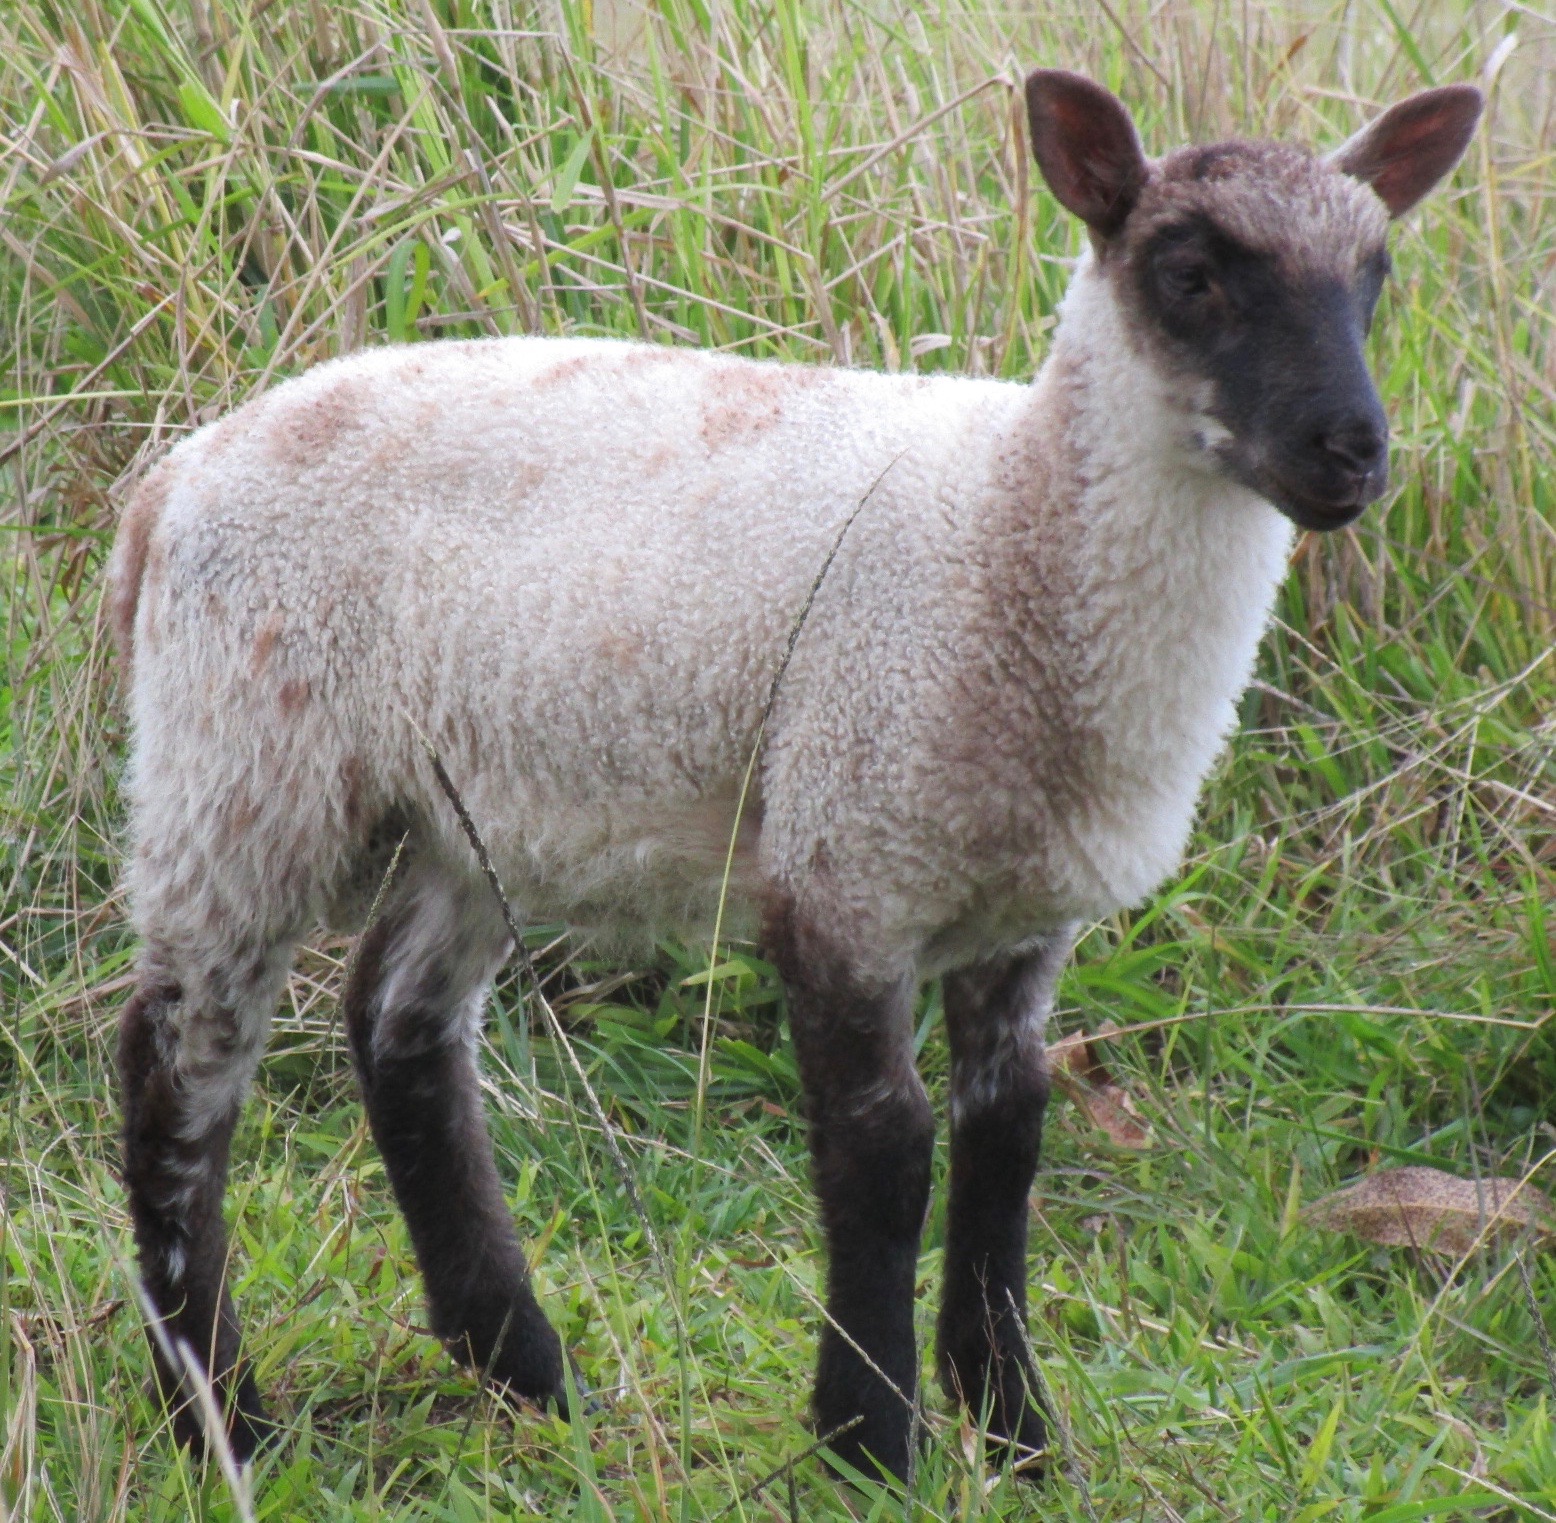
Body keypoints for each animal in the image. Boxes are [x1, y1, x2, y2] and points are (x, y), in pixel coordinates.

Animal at [108, 68, 1482, 1484]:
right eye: (1190, 274)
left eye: (1373, 275)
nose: (1350, 451)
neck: (1008, 527)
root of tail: (171, 480)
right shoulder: (844, 855)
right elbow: (883, 1149)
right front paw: (869, 1440)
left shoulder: (1023, 909)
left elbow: (1007, 1140)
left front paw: (1017, 1431)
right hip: (241, 768)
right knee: (173, 1076)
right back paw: (224, 1417)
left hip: (472, 810)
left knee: (399, 1026)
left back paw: (529, 1373)